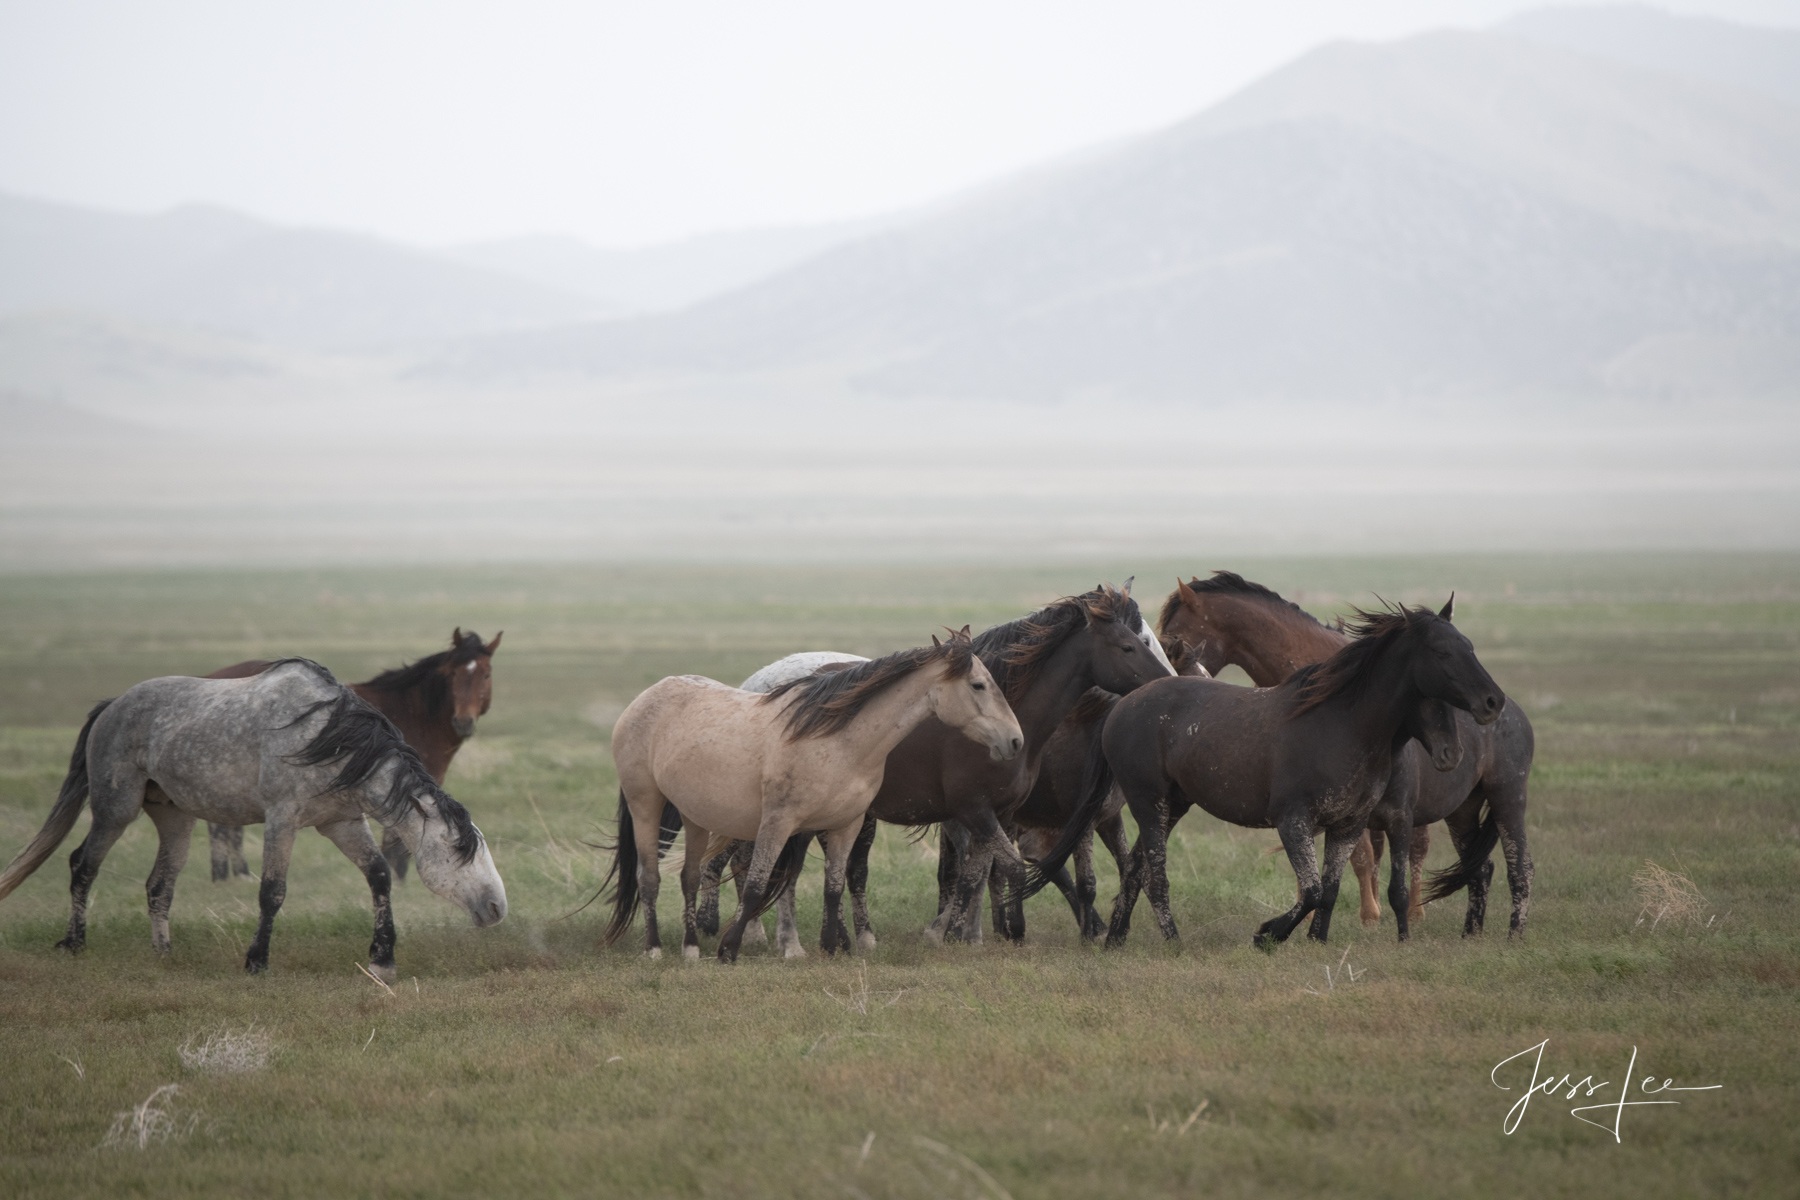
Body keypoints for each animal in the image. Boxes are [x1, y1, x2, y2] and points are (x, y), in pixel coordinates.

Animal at [0, 662, 511, 978]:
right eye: (455, 848)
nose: (497, 908)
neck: (327, 738)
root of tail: (112, 706)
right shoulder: (281, 820)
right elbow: (272, 891)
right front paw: (256, 961)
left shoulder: (342, 822)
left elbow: (380, 876)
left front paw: (382, 960)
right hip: (115, 809)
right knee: (83, 864)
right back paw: (74, 943)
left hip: (174, 818)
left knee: (159, 884)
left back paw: (164, 953)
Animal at [202, 633, 500, 888]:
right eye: (453, 674)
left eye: (486, 674)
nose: (463, 722)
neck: (413, 713)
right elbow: (396, 841)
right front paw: (399, 879)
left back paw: (228, 875)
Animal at [604, 633, 1029, 964]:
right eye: (978, 685)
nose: (1014, 741)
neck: (837, 742)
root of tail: (646, 697)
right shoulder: (778, 822)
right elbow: (758, 883)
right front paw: (730, 949)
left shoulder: (846, 824)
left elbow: (834, 884)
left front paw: (832, 947)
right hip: (646, 805)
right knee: (649, 877)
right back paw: (655, 949)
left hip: (695, 816)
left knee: (690, 877)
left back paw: (690, 950)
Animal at [1029, 604, 1504, 949]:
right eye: (1442, 652)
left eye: (1469, 645)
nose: (1493, 701)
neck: (1344, 724)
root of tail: (1121, 707)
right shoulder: (1292, 820)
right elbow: (1311, 890)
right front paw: (1267, 935)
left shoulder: (1347, 825)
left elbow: (1330, 888)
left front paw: (1316, 942)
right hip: (1150, 802)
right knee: (1155, 875)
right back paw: (1172, 942)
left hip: (1174, 804)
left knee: (1133, 868)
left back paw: (1115, 939)